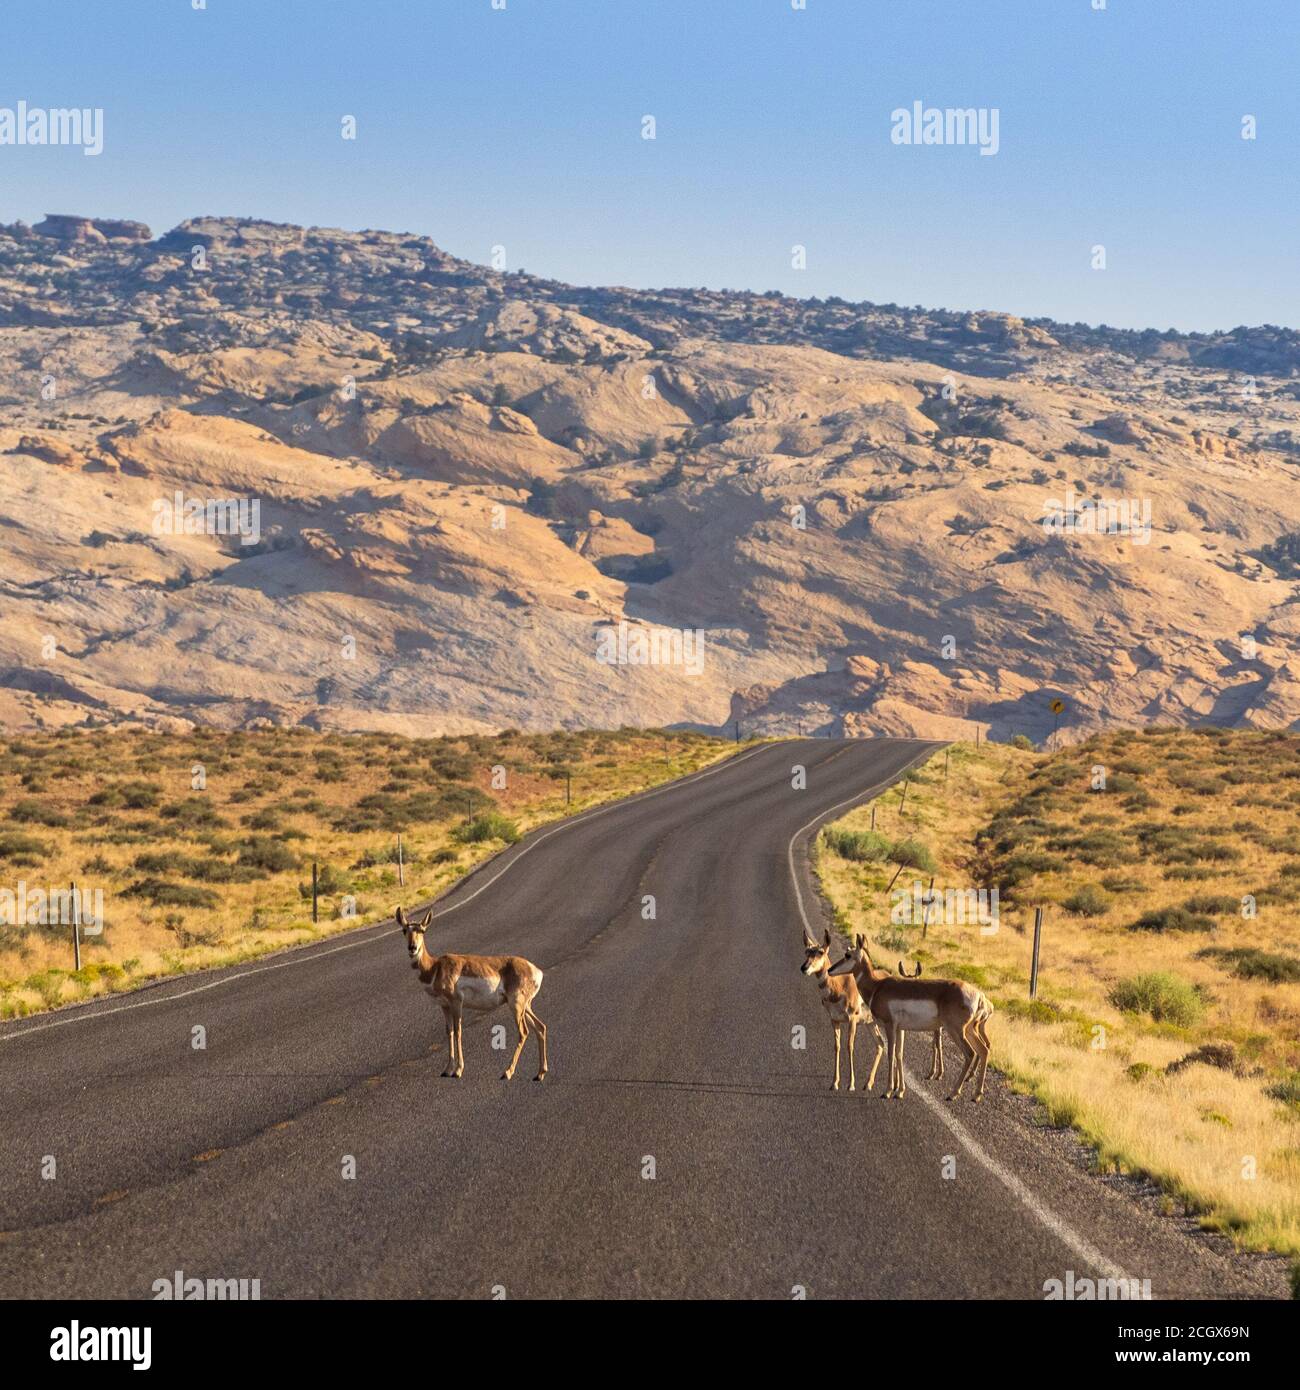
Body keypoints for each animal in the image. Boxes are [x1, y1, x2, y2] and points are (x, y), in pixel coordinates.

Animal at [397, 900, 547, 1084]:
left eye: (422, 930)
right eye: (405, 930)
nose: (412, 948)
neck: (435, 967)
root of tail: (534, 969)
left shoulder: (456, 1003)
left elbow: (458, 1031)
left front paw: (458, 1070)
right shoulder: (444, 1006)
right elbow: (449, 1032)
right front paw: (447, 1069)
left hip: (516, 1005)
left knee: (523, 1032)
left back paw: (507, 1072)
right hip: (525, 1006)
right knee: (540, 1027)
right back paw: (539, 1074)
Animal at [834, 939, 995, 1100]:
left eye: (848, 955)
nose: (830, 970)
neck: (877, 986)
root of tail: (980, 995)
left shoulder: (890, 1026)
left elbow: (890, 1054)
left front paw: (888, 1091)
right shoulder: (900, 1029)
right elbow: (899, 1054)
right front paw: (899, 1091)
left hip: (956, 1031)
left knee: (970, 1053)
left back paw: (953, 1093)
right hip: (970, 1030)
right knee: (984, 1050)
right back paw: (976, 1095)